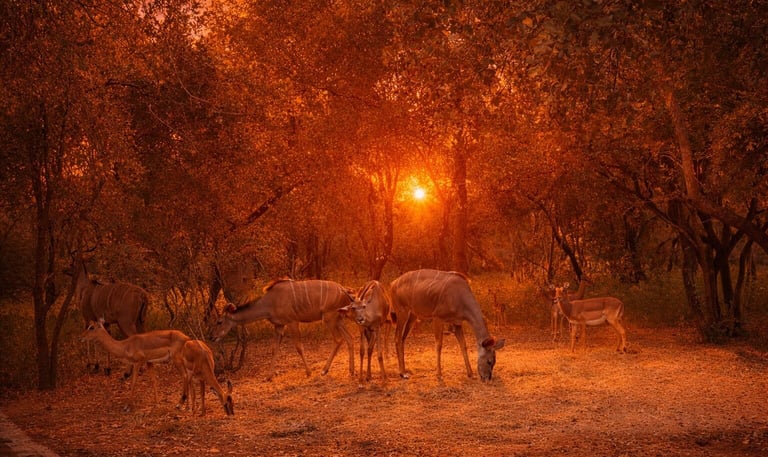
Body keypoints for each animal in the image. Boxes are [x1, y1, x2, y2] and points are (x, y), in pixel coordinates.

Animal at [209, 278, 356, 380]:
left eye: (219, 322)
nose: (212, 337)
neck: (269, 302)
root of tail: (345, 290)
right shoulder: (279, 325)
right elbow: (274, 349)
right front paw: (268, 376)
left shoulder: (292, 322)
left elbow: (299, 347)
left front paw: (308, 372)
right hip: (338, 320)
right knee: (349, 338)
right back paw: (351, 370)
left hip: (329, 318)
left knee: (338, 340)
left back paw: (324, 370)